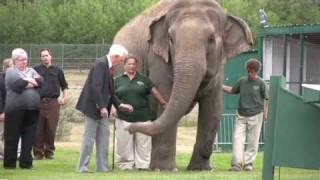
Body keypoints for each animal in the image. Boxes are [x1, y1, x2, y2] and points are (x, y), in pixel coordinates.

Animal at [112, 0, 252, 171]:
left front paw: (201, 169)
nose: (130, 129)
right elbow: (164, 97)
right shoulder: (157, 58)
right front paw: (164, 169)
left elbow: (213, 109)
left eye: (211, 38)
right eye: (171, 39)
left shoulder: (219, 67)